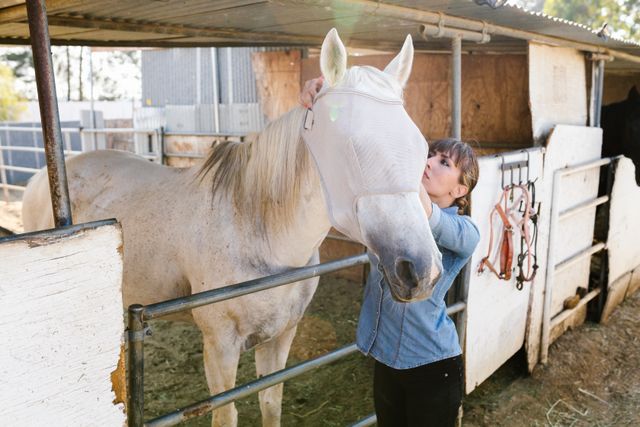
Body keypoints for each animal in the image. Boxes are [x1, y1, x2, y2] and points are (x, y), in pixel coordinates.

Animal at [21, 29, 442, 427]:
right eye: (350, 145)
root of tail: (42, 178)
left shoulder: (281, 336)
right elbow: (226, 416)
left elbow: (271, 405)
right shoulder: (220, 346)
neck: (257, 226)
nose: (421, 270)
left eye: (421, 147)